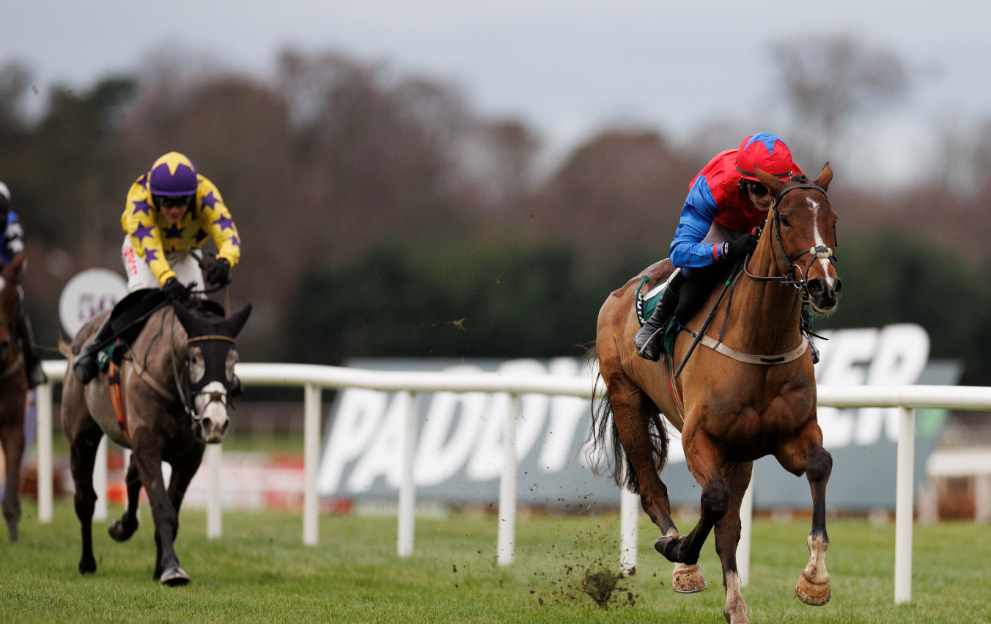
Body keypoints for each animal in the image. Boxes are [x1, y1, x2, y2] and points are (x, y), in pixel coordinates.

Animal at [61, 298, 250, 584]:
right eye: (194, 358)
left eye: (232, 360)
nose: (215, 422)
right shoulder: (148, 443)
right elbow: (162, 507)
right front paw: (172, 568)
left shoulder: (189, 457)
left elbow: (172, 509)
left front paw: (161, 566)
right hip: (82, 438)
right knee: (85, 499)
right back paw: (87, 562)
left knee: (130, 477)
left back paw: (122, 527)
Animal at [592, 163, 840, 620]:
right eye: (784, 219)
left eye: (833, 220)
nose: (824, 287)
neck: (760, 340)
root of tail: (620, 292)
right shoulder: (699, 438)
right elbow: (713, 499)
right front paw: (682, 552)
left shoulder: (791, 435)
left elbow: (819, 465)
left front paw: (815, 579)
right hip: (627, 400)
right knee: (654, 491)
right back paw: (682, 561)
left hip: (738, 452)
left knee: (730, 527)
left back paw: (735, 606)